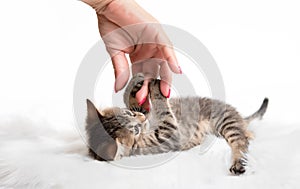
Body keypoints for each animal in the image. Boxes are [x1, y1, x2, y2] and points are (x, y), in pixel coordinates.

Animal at [85, 73, 268, 175]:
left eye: (129, 114)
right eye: (135, 130)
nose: (142, 120)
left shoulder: (147, 113)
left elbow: (133, 100)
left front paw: (137, 82)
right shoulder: (167, 134)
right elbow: (162, 107)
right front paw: (155, 85)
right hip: (224, 122)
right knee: (241, 142)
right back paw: (237, 163)